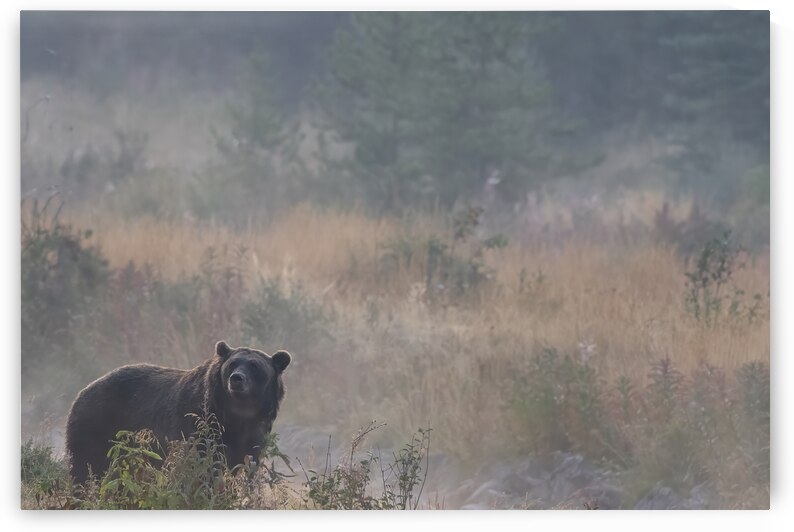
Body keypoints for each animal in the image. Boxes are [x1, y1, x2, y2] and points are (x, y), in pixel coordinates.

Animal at [65, 340, 291, 485]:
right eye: (233, 363)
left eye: (254, 366)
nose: (236, 379)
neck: (236, 416)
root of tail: (84, 389)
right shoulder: (198, 425)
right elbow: (202, 466)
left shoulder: (254, 434)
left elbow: (245, 464)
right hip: (99, 426)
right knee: (86, 466)